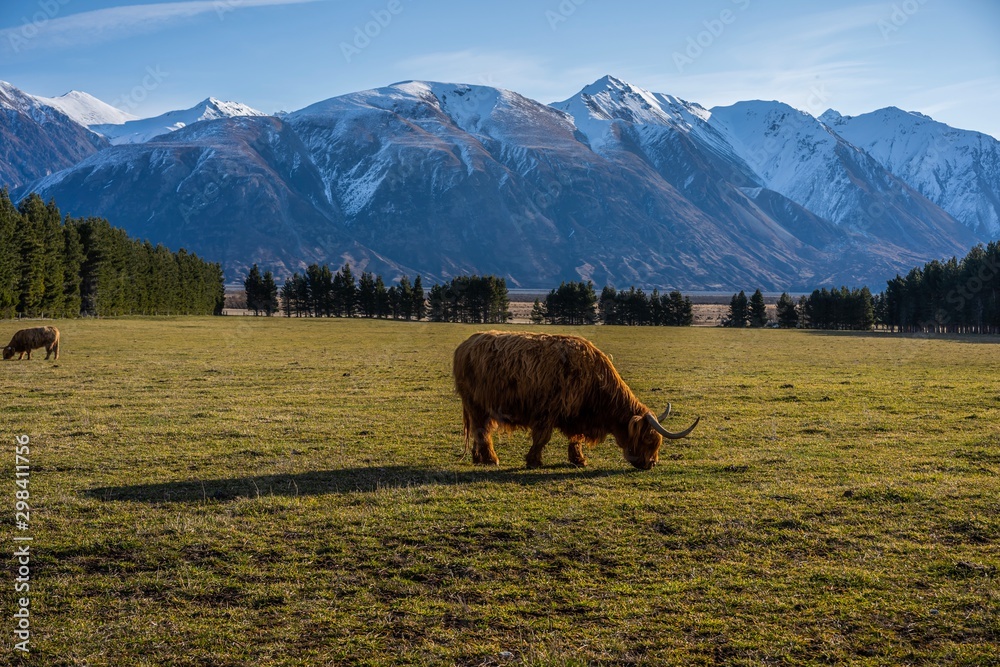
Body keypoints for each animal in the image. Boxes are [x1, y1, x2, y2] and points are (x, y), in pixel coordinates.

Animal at [453, 330, 699, 470]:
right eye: (648, 440)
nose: (651, 464)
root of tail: (466, 344)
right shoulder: (549, 411)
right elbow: (542, 438)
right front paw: (533, 461)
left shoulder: (578, 414)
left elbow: (576, 438)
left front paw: (578, 459)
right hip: (477, 403)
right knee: (482, 431)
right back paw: (491, 459)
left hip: (478, 407)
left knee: (478, 430)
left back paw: (478, 458)